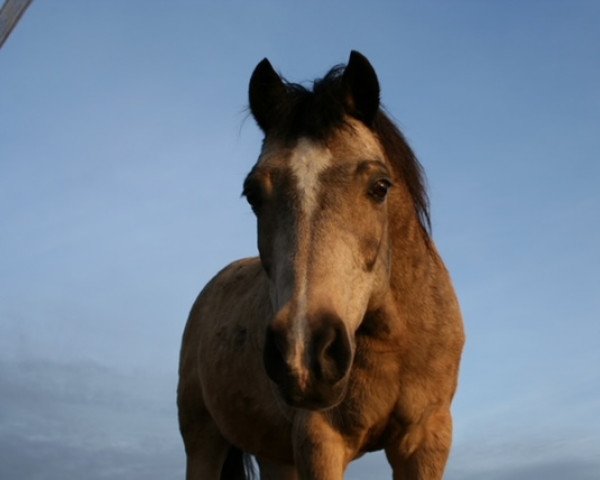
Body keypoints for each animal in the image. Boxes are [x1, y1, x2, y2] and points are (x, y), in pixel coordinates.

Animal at [176, 50, 466, 478]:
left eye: (380, 186)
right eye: (253, 194)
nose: (302, 355)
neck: (394, 341)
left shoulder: (426, 441)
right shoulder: (320, 439)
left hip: (275, 454)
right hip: (203, 439)